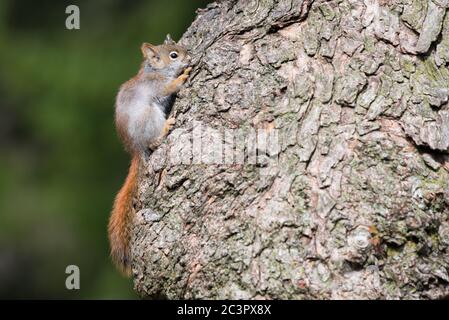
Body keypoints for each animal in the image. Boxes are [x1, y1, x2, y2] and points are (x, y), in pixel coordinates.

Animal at [110, 34, 192, 276]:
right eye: (173, 55)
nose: (189, 56)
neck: (155, 71)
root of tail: (136, 148)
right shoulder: (158, 85)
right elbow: (169, 87)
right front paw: (183, 74)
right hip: (150, 116)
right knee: (153, 141)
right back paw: (164, 129)